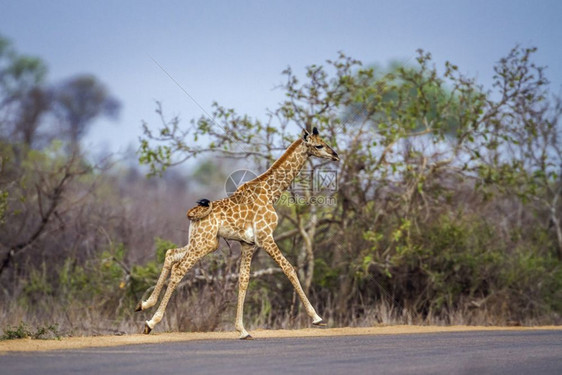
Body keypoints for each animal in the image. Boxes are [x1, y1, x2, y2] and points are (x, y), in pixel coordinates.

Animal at [135, 127, 336, 340]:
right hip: (204, 243)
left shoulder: (248, 243)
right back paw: (150, 322)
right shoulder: (265, 237)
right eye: (319, 145)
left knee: (170, 254)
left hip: (203, 241)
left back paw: (144, 305)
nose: (335, 155)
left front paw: (242, 329)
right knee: (179, 269)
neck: (271, 193)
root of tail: (192, 214)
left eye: (324, 142)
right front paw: (317, 318)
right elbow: (289, 269)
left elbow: (243, 280)